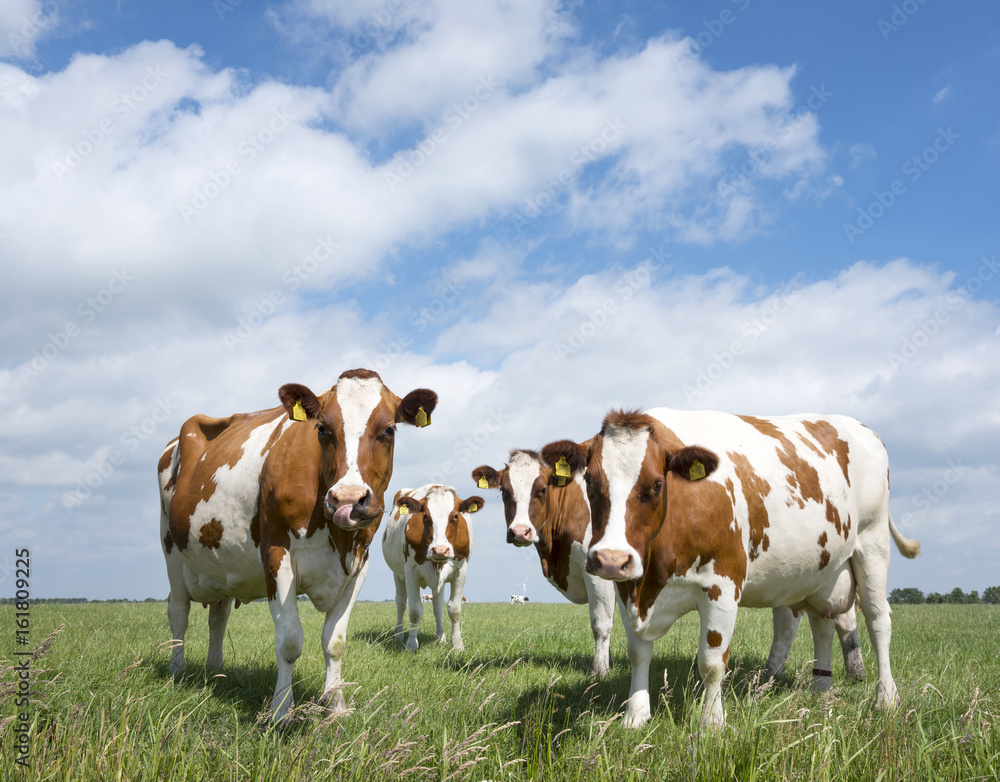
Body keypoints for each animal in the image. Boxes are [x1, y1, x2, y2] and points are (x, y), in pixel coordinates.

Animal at [158, 370, 436, 724]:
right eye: (322, 428)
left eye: (388, 429)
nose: (348, 500)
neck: (338, 538)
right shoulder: (278, 556)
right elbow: (289, 642)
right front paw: (280, 712)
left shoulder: (359, 564)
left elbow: (335, 641)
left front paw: (336, 706)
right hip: (171, 551)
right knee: (178, 613)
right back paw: (177, 672)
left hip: (222, 566)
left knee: (218, 616)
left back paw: (215, 669)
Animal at [378, 486, 480, 652]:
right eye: (425, 516)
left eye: (455, 516)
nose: (439, 550)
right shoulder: (411, 570)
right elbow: (414, 611)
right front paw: (411, 645)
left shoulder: (461, 570)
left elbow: (454, 609)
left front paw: (457, 645)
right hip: (398, 574)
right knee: (401, 602)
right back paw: (399, 635)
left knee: (437, 605)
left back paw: (440, 637)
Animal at [468, 454, 616, 680]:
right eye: (504, 490)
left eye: (543, 490)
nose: (520, 532)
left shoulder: (599, 573)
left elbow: (601, 622)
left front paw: (600, 671)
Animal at [544, 410, 916, 728]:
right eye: (591, 483)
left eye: (657, 484)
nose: (610, 559)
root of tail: (861, 427)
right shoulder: (628, 588)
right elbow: (638, 654)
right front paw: (635, 716)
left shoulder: (723, 584)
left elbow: (711, 663)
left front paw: (712, 723)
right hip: (820, 570)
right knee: (821, 623)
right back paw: (821, 690)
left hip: (872, 544)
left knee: (878, 619)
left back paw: (886, 697)